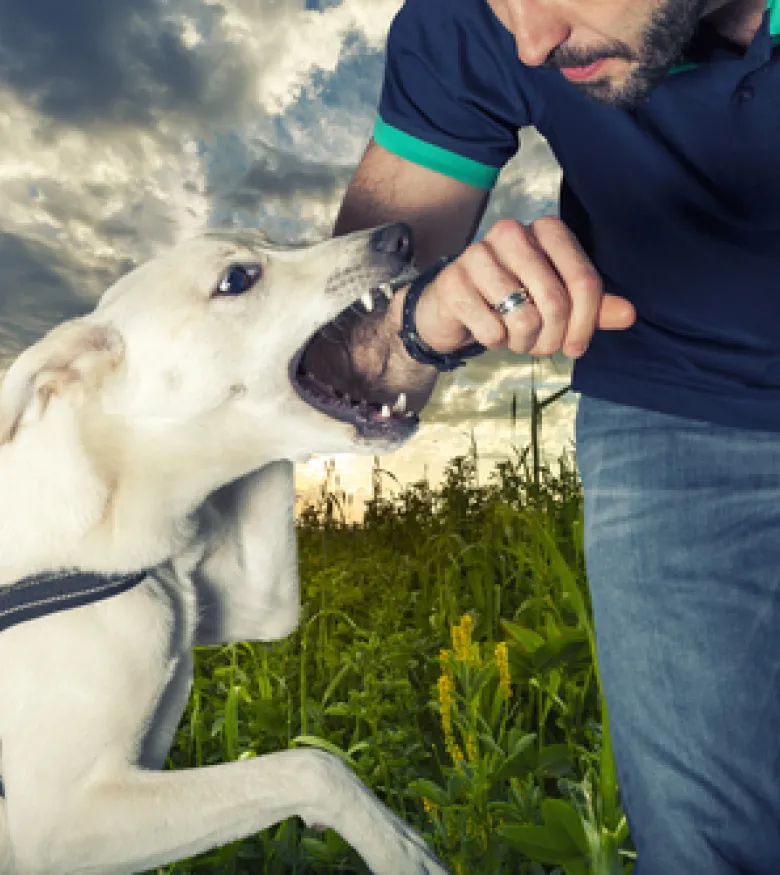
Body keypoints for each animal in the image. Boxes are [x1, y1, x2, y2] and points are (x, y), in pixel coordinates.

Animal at [0, 228, 448, 875]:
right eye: (237, 279)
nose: (399, 235)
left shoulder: (253, 605)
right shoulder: (62, 823)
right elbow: (312, 765)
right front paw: (398, 846)